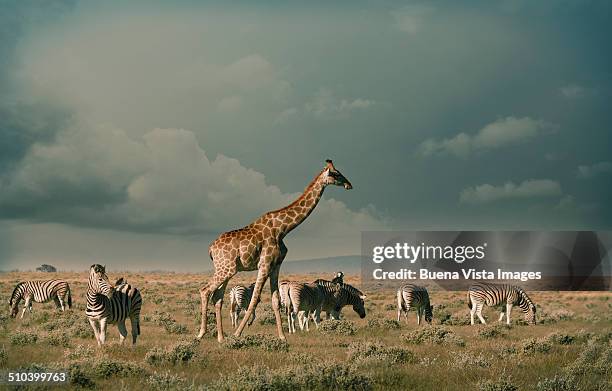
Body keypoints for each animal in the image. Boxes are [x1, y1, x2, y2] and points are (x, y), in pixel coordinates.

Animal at [198, 159, 352, 344]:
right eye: (336, 173)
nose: (349, 185)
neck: (283, 229)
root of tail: (211, 249)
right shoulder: (264, 264)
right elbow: (254, 299)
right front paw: (237, 334)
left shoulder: (275, 265)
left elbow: (275, 301)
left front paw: (282, 336)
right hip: (226, 268)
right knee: (205, 290)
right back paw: (201, 333)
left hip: (227, 269)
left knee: (218, 297)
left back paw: (221, 337)